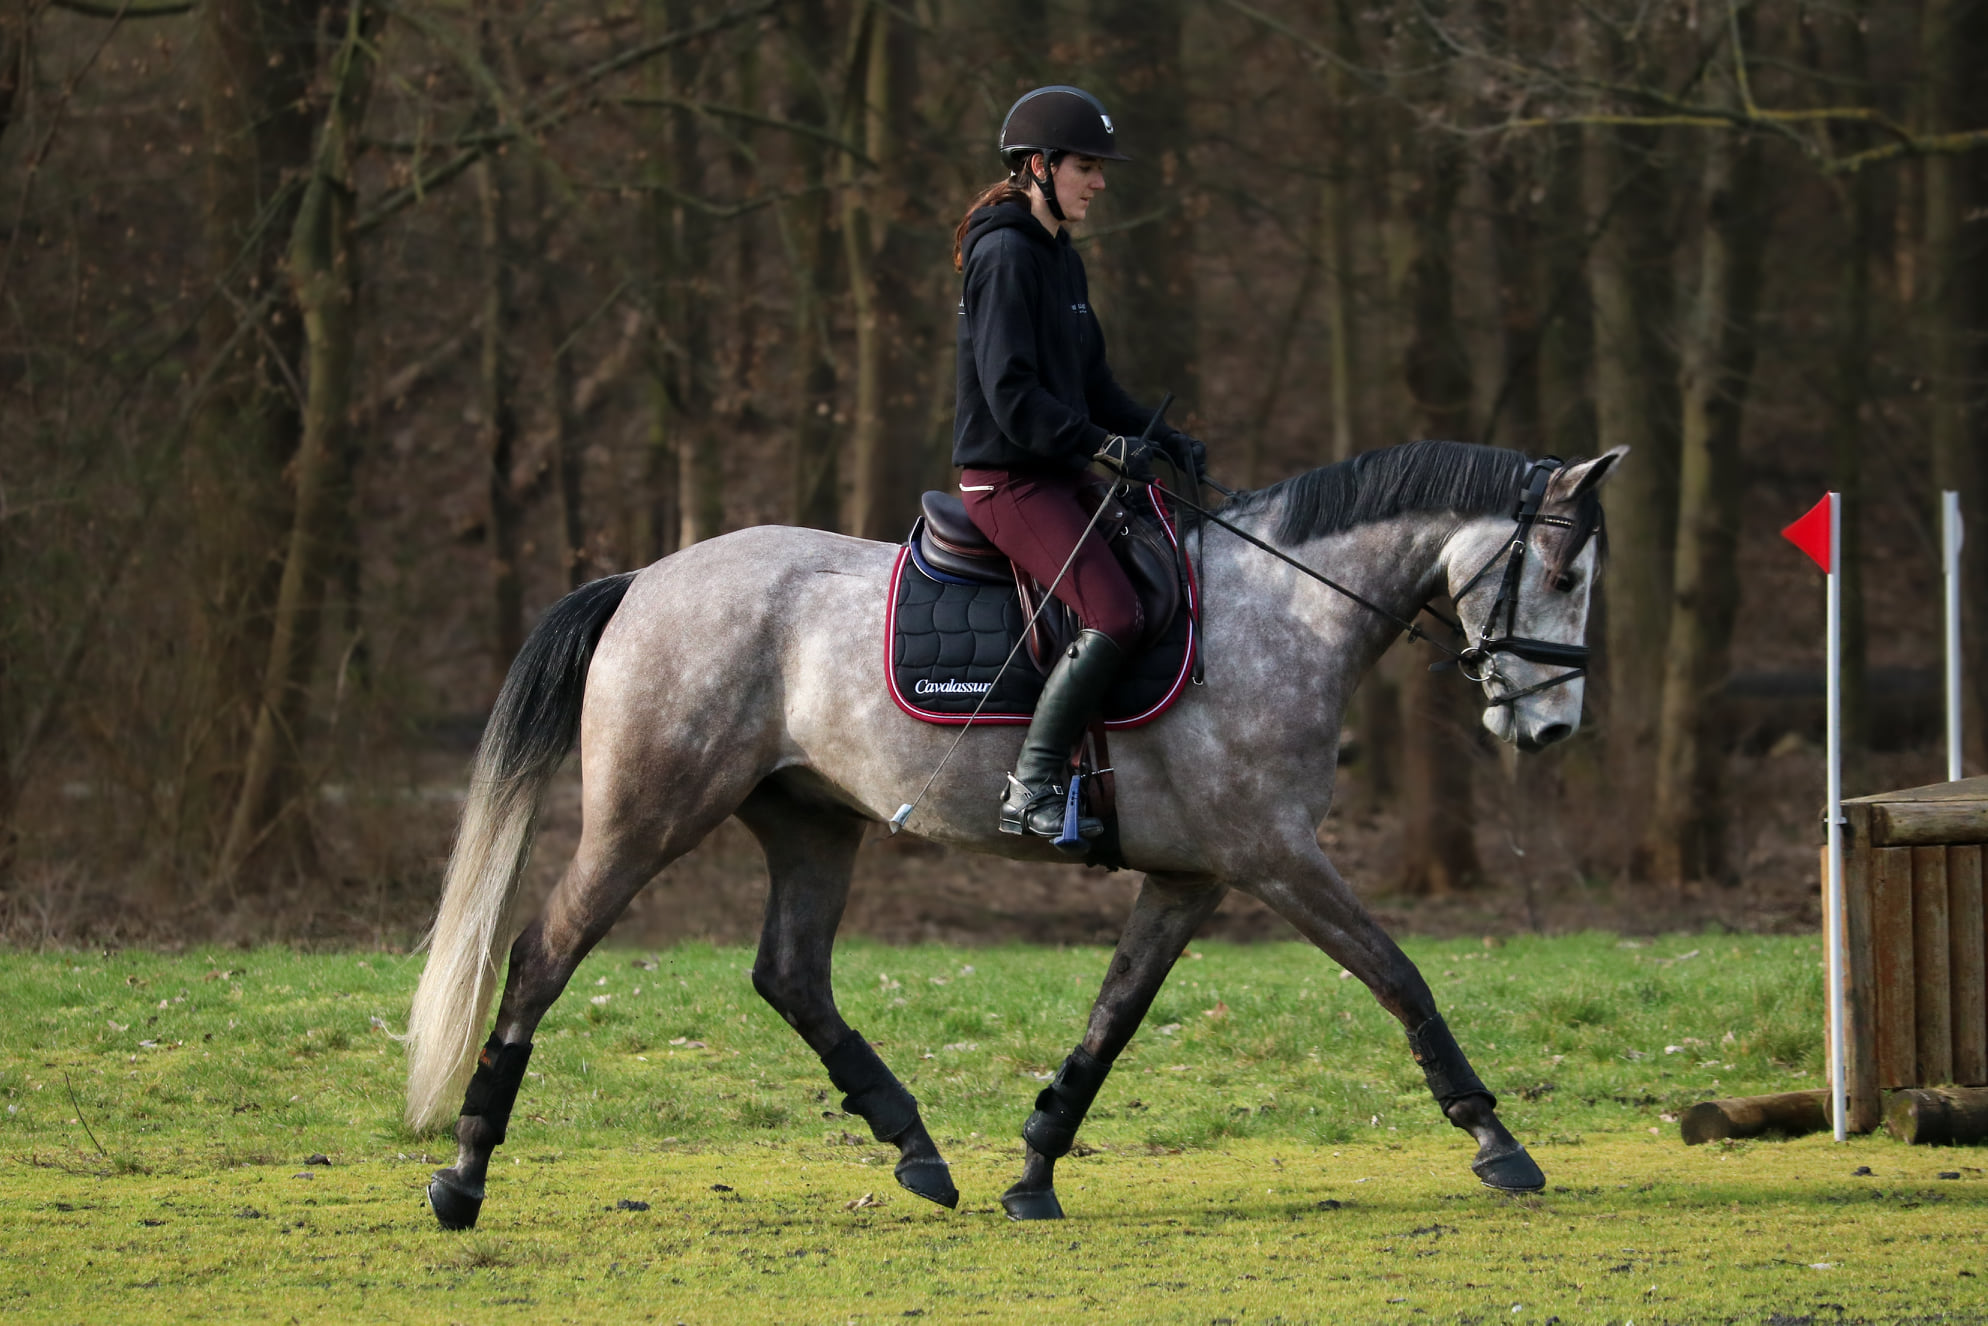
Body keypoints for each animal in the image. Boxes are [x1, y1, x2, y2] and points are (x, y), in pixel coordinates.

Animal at [407, 441, 1630, 1232]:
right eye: (1563, 573)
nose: (1549, 726)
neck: (1284, 610)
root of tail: (642, 580)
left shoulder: (1190, 877)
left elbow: (1111, 1020)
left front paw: (1036, 1167)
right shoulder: (1276, 859)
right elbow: (1397, 975)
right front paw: (1496, 1140)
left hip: (811, 822)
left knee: (790, 975)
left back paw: (916, 1150)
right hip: (646, 814)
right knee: (541, 956)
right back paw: (464, 1173)